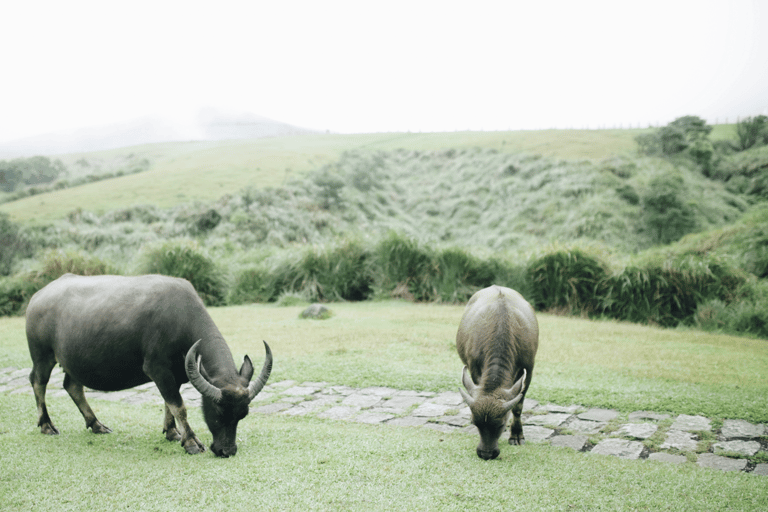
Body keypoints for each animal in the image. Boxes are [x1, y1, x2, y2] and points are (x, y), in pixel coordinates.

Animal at [26, 274, 272, 458]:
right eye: (218, 412)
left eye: (243, 415)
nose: (226, 451)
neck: (181, 319)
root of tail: (37, 296)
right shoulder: (158, 370)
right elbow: (179, 405)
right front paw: (191, 441)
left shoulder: (176, 373)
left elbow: (169, 403)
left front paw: (172, 432)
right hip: (42, 356)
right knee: (38, 382)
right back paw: (46, 425)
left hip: (74, 362)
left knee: (72, 386)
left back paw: (96, 424)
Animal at [456, 284, 540, 460]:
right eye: (475, 422)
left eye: (501, 424)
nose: (486, 454)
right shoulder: (474, 369)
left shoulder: (529, 369)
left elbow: (518, 406)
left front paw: (516, 435)